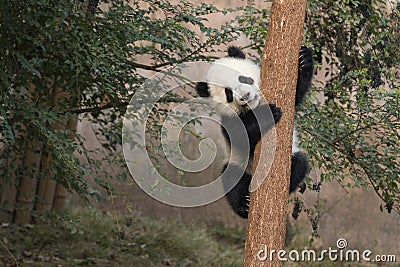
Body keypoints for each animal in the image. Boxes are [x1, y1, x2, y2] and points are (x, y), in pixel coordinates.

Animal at [195, 45, 314, 218]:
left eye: (243, 79)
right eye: (228, 93)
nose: (245, 96)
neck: (253, 108)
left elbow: (296, 93)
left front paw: (304, 59)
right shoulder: (228, 121)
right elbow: (241, 135)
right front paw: (268, 114)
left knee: (300, 163)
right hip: (238, 163)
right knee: (232, 179)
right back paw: (243, 205)